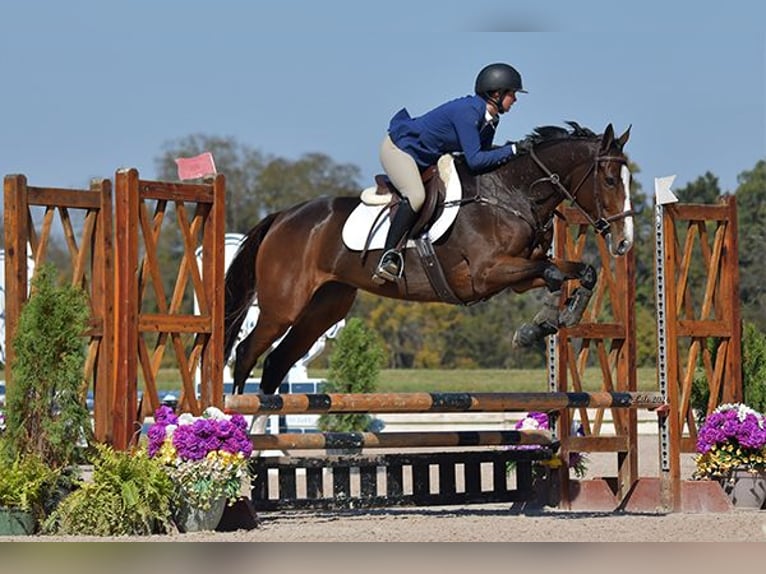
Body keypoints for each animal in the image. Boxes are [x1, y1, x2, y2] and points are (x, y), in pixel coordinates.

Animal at [225, 122, 632, 396]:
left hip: (324, 307)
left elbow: (580, 271)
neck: (512, 194)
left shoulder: (515, 275)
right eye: (611, 180)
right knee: (245, 354)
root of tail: (283, 216)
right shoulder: (486, 273)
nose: (624, 242)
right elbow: (553, 273)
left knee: (276, 363)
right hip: (283, 306)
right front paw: (540, 324)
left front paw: (554, 320)